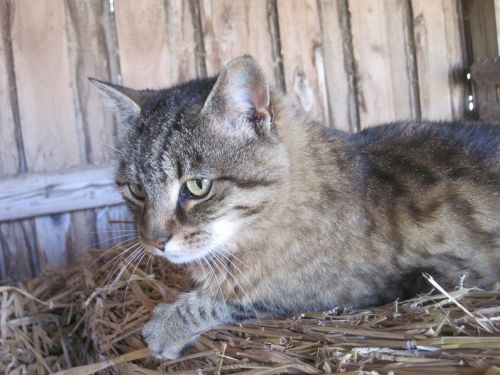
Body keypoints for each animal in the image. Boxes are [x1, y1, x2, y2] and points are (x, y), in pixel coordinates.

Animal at [91, 55, 500, 358]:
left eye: (197, 186)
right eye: (136, 190)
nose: (153, 241)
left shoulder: (344, 291)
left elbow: (241, 298)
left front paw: (169, 325)